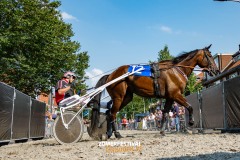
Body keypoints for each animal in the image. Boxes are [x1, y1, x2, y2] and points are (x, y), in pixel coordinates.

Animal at [88, 44, 219, 138]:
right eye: (210, 56)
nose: (216, 70)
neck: (176, 70)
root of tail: (110, 76)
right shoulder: (176, 95)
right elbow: (190, 107)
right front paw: (191, 122)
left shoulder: (170, 97)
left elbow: (165, 113)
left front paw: (162, 131)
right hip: (119, 98)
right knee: (112, 114)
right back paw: (117, 134)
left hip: (126, 98)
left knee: (109, 113)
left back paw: (109, 133)